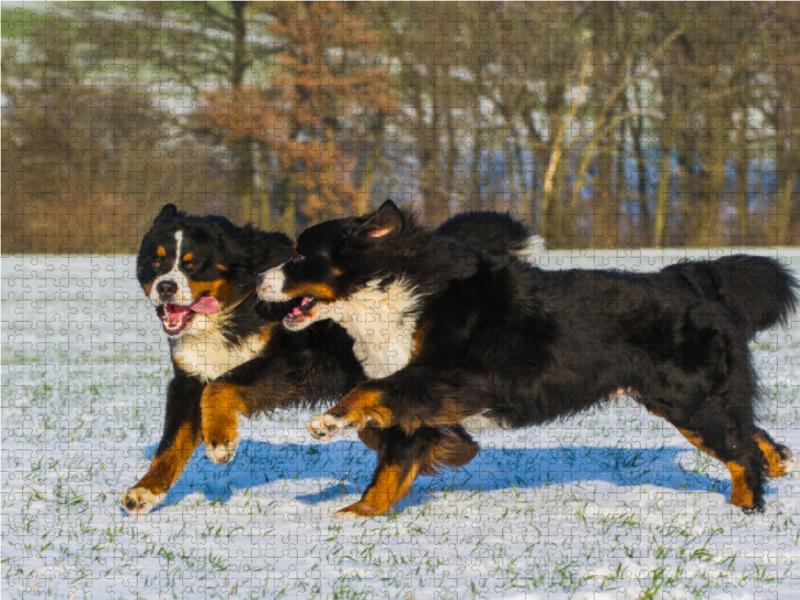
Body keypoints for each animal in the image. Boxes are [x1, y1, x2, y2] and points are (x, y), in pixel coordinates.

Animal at [120, 204, 544, 512]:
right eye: (156, 262)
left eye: (193, 262)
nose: (165, 287)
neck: (234, 307)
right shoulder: (190, 377)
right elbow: (171, 444)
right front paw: (146, 491)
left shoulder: (294, 363)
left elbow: (222, 389)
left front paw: (221, 443)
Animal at [260, 200, 796, 516]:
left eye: (299, 256)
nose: (259, 281)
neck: (395, 294)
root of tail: (692, 281)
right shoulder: (419, 399)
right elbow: (389, 467)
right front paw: (355, 518)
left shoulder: (450, 376)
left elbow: (369, 392)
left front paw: (329, 422)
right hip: (690, 403)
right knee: (751, 436)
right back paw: (780, 465)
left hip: (693, 402)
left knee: (742, 451)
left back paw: (745, 509)